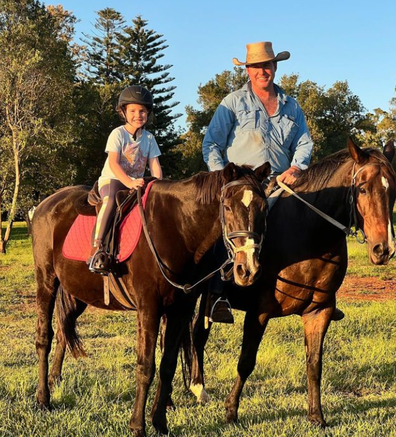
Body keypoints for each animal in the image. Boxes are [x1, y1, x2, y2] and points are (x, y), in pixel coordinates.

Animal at [32, 161, 270, 436]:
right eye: (228, 207)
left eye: (264, 209)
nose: (248, 269)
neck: (177, 229)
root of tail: (45, 204)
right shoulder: (149, 308)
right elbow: (146, 366)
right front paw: (138, 425)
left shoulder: (181, 310)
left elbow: (168, 365)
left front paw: (160, 422)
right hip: (46, 281)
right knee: (44, 338)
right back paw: (43, 399)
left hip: (76, 293)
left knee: (62, 332)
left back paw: (54, 382)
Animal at [189, 139, 396, 426]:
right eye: (363, 188)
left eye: (394, 189)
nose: (383, 249)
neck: (308, 236)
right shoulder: (259, 312)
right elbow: (246, 361)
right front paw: (231, 410)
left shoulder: (319, 312)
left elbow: (314, 364)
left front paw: (316, 415)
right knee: (196, 333)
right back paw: (196, 388)